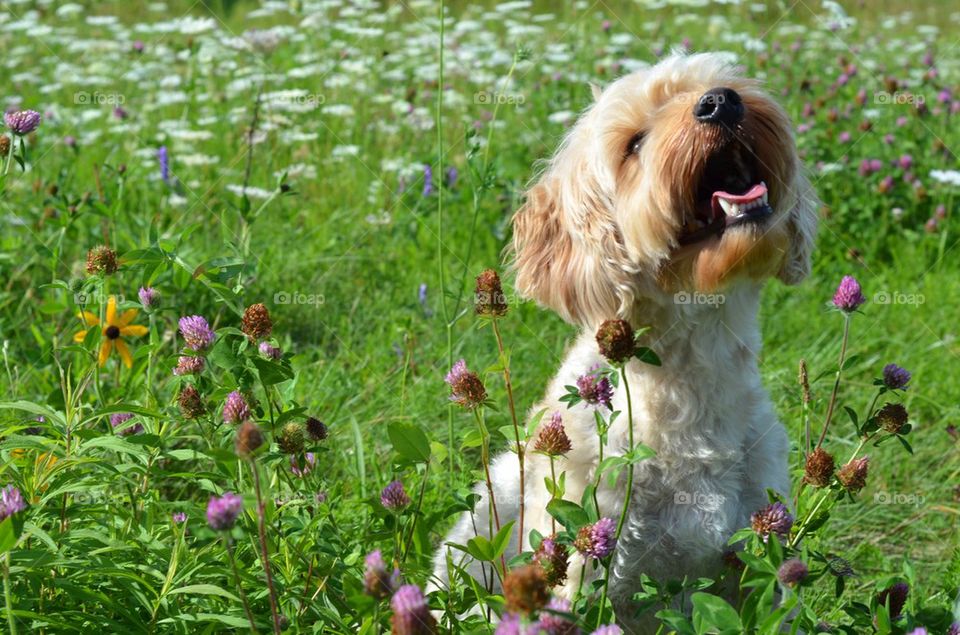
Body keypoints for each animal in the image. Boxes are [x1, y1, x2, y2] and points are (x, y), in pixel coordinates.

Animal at [436, 53, 816, 632]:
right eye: (634, 143)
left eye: (718, 83)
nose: (721, 102)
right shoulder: (588, 554)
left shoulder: (757, 549)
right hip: (482, 516)